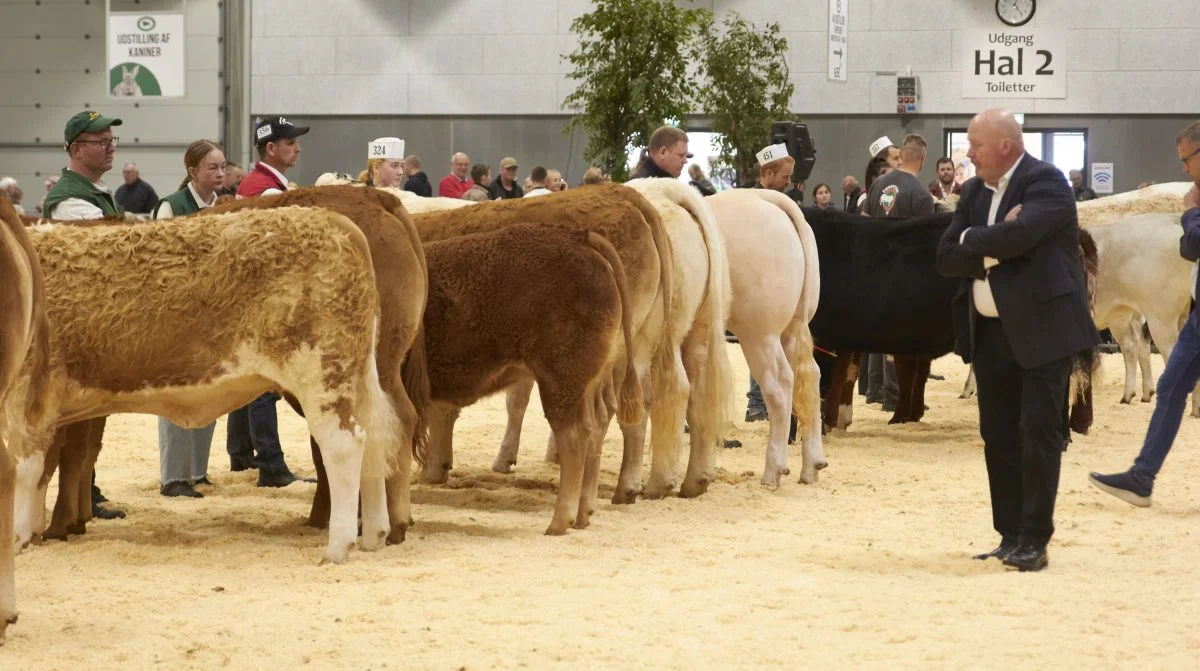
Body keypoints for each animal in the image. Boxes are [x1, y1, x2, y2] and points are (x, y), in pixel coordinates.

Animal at [700, 186, 825, 484]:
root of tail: (764, 197)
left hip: (758, 332)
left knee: (779, 384)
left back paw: (773, 470)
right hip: (792, 328)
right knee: (811, 377)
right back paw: (811, 466)